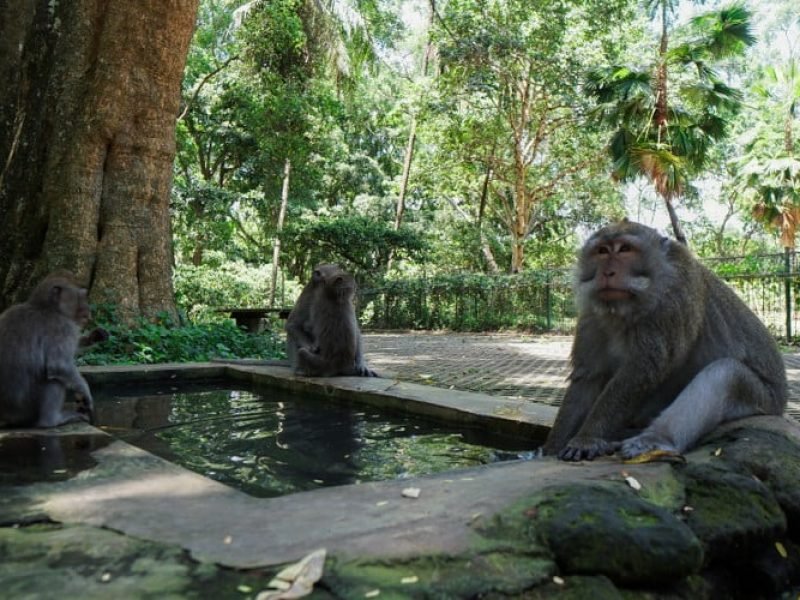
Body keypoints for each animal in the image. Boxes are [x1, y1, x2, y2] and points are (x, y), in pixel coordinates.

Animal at [0, 272, 96, 428]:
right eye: (81, 296)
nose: (88, 313)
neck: (45, 307)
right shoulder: (63, 327)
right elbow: (59, 365)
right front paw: (85, 391)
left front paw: (93, 337)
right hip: (25, 408)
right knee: (54, 379)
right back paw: (52, 420)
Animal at [543, 220, 787, 461]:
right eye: (602, 251)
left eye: (624, 249)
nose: (608, 272)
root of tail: (782, 404)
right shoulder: (591, 315)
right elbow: (589, 377)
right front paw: (551, 447)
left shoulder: (672, 299)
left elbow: (642, 371)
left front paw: (587, 438)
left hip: (762, 400)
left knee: (727, 374)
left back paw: (655, 439)